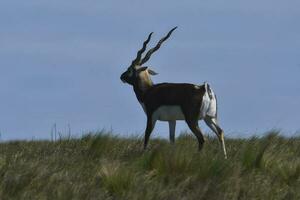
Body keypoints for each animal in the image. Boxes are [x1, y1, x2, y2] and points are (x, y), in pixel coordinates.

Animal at [119, 26, 227, 159]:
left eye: (129, 69)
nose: (121, 76)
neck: (149, 91)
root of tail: (204, 88)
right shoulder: (172, 120)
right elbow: (172, 140)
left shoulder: (151, 116)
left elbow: (146, 136)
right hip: (210, 118)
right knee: (220, 132)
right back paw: (224, 158)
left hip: (192, 120)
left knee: (202, 139)